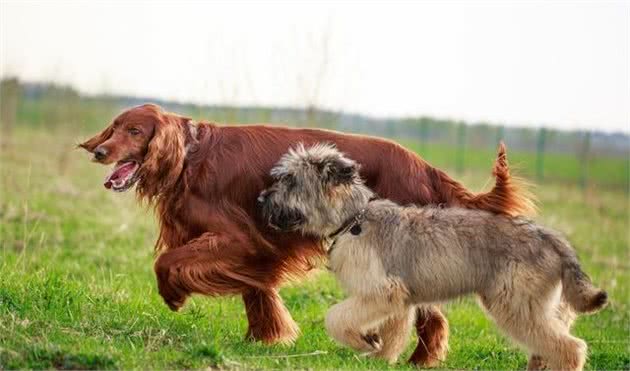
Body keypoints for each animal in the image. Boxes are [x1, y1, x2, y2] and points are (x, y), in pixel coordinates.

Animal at [78, 104, 532, 366]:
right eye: (115, 127)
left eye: (136, 132)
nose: (100, 152)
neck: (190, 157)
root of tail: (424, 166)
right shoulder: (257, 245)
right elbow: (257, 290)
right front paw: (265, 336)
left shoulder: (237, 237)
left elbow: (167, 261)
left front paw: (174, 295)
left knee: (429, 313)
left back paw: (419, 359)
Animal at [260, 143, 608, 371]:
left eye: (289, 180)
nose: (260, 198)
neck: (353, 220)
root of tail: (552, 238)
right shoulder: (397, 299)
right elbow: (394, 331)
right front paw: (380, 357)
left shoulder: (382, 291)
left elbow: (336, 317)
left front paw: (363, 342)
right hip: (543, 307)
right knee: (552, 343)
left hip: (517, 304)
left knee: (571, 348)